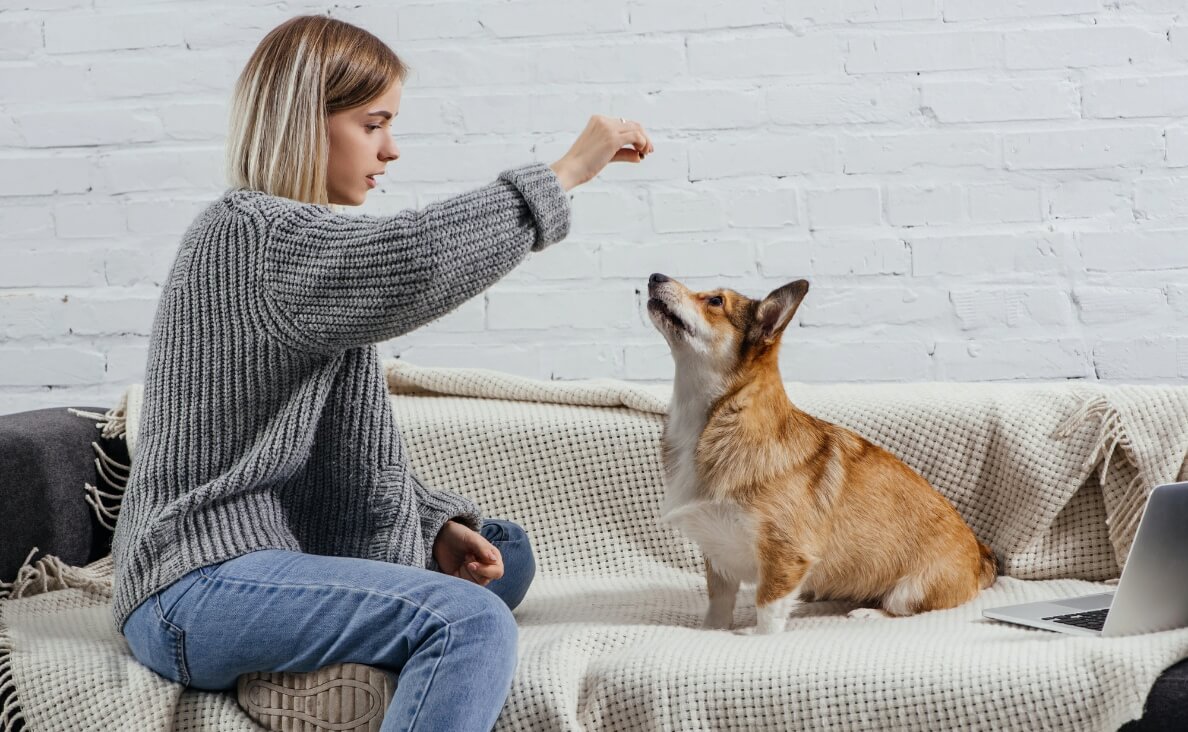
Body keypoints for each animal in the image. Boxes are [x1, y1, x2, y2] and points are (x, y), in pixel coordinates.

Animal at [646, 274, 997, 636]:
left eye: (715, 301)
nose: (655, 276)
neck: (711, 420)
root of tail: (981, 556)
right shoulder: (717, 556)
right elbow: (718, 601)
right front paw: (711, 630)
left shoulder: (784, 554)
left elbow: (767, 605)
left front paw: (758, 637)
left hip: (910, 590)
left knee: (901, 607)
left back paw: (869, 613)